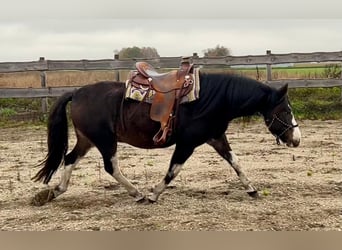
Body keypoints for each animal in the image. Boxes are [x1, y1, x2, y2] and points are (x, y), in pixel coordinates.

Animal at [31, 72, 300, 205]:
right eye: (285, 110)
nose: (296, 139)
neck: (212, 98)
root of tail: (76, 93)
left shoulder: (216, 137)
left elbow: (236, 162)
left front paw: (252, 189)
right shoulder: (187, 143)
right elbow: (173, 170)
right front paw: (154, 194)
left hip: (87, 139)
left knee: (69, 159)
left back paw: (55, 191)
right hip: (105, 141)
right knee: (111, 167)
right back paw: (138, 194)